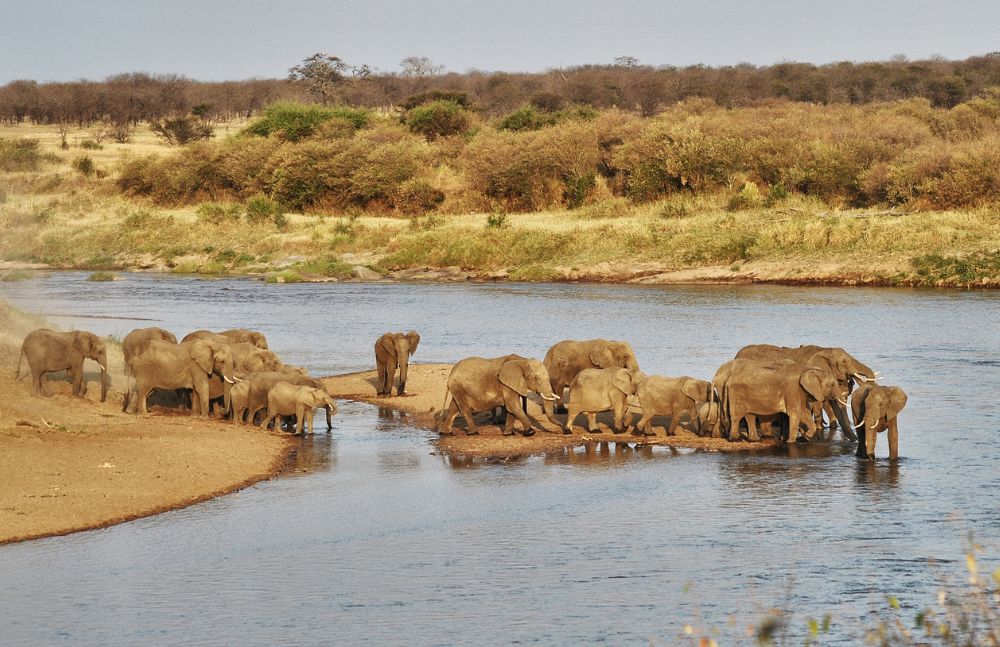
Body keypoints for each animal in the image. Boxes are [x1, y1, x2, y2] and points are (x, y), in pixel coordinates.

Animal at [716, 360, 848, 446]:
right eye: (832, 385)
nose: (819, 439)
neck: (807, 369)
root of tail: (728, 380)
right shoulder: (793, 389)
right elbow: (796, 413)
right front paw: (792, 442)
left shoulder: (800, 392)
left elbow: (803, 412)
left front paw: (805, 438)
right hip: (737, 394)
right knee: (737, 416)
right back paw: (735, 440)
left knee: (750, 416)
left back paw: (754, 440)